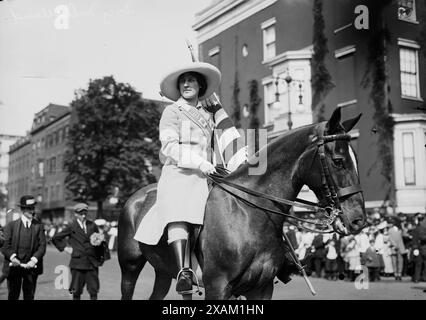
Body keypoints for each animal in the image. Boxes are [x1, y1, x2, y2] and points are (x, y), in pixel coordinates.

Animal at [116, 108, 366, 300]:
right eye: (338, 161)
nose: (358, 220)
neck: (249, 213)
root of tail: (137, 196)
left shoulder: (261, 289)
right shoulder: (217, 287)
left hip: (162, 270)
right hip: (129, 267)